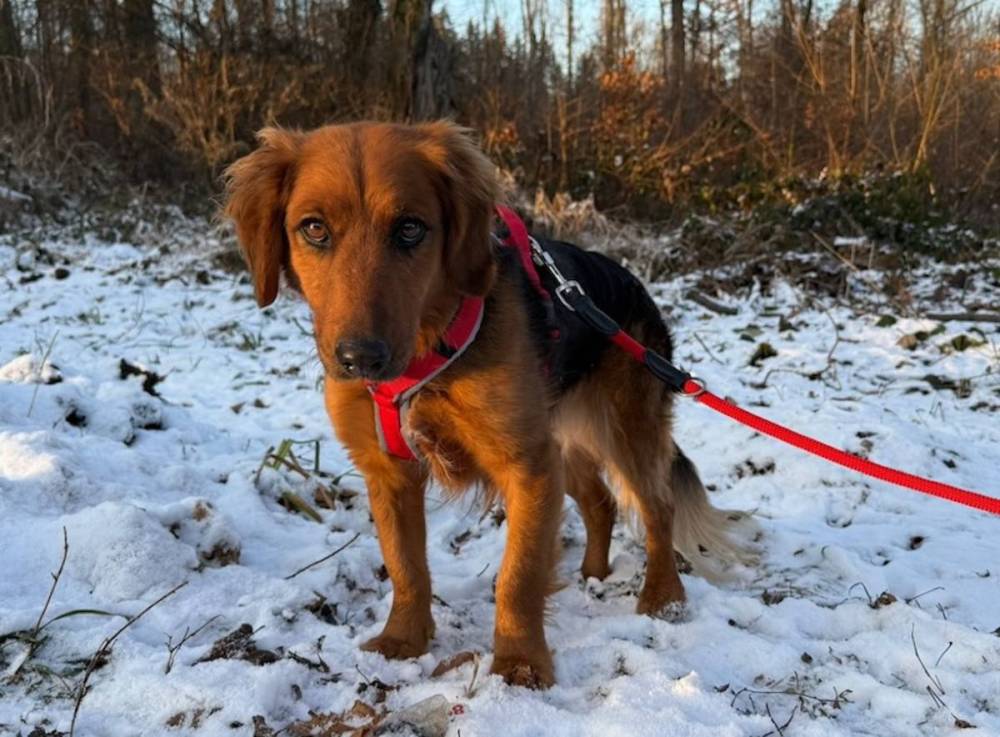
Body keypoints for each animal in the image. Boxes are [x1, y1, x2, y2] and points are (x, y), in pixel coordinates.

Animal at [224, 121, 754, 688]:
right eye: (314, 229)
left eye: (410, 229)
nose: (360, 358)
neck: (428, 353)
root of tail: (633, 284)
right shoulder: (390, 471)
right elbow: (406, 566)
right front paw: (403, 642)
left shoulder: (528, 466)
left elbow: (517, 575)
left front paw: (520, 663)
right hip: (564, 439)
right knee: (601, 503)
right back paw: (592, 575)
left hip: (624, 429)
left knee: (658, 507)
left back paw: (663, 596)